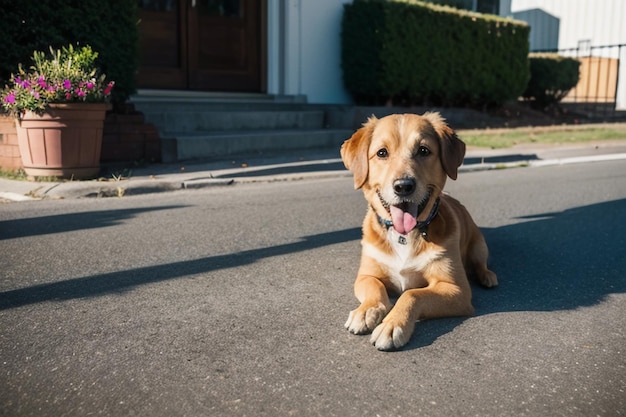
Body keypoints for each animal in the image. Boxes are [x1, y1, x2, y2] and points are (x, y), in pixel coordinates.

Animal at [338, 112, 494, 350]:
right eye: (382, 153)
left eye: (423, 150)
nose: (403, 186)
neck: (404, 236)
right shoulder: (366, 275)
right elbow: (375, 287)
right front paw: (367, 311)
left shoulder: (456, 289)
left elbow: (412, 294)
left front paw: (392, 325)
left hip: (479, 245)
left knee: (480, 263)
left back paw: (487, 276)